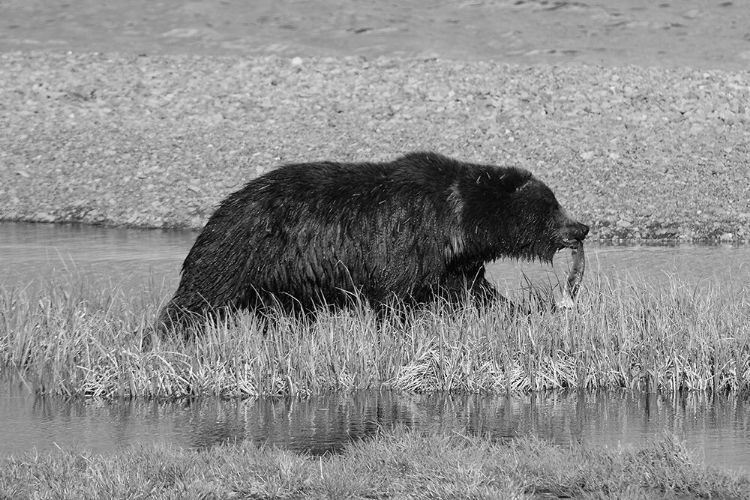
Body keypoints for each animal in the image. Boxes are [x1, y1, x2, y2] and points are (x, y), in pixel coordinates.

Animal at [159, 151, 592, 332]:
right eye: (551, 204)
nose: (581, 228)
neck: (458, 222)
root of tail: (225, 204)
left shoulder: (450, 261)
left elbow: (472, 291)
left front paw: (518, 311)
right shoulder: (406, 238)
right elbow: (394, 295)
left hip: (281, 280)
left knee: (283, 313)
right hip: (241, 249)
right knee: (201, 295)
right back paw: (170, 334)